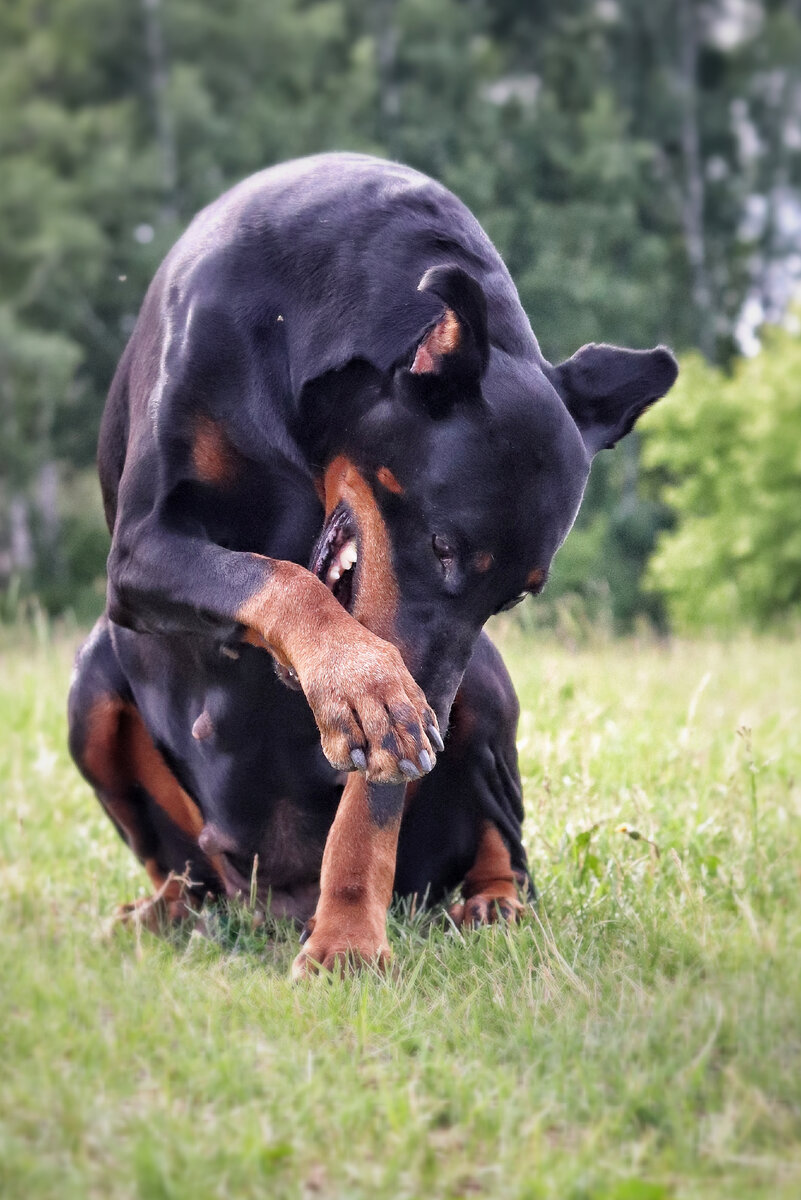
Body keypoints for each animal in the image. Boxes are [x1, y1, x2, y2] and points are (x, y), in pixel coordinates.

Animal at [68, 152, 676, 974]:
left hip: (483, 695)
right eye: (442, 547)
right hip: (92, 692)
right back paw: (157, 914)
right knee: (184, 875)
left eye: (516, 597)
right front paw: (361, 685)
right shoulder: (142, 545)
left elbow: (372, 800)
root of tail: (273, 905)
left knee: (509, 850)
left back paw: (492, 904)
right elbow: (283, 577)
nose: (428, 718)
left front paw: (347, 945)